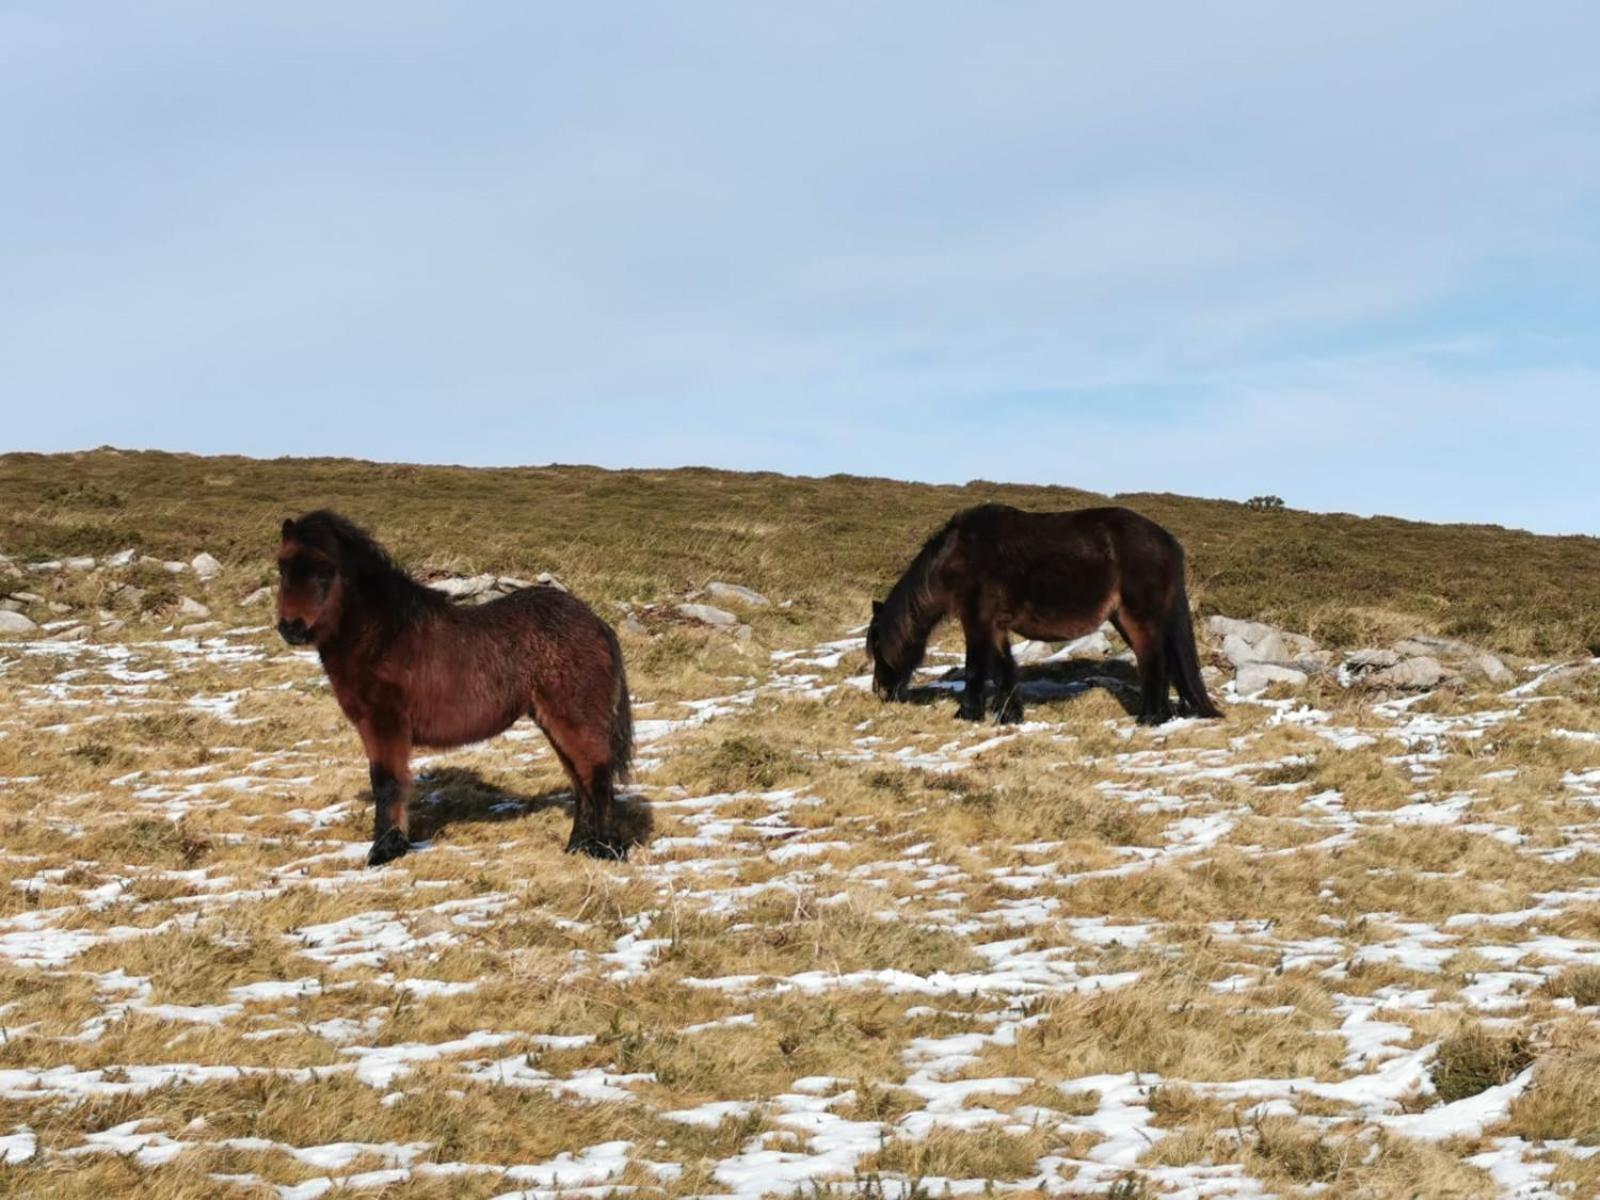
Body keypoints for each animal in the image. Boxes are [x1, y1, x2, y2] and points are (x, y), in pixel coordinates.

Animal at [275, 512, 630, 870]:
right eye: (282, 568)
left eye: (325, 571)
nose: (291, 628)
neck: (383, 635)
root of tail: (596, 622)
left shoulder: (385, 724)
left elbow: (387, 782)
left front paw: (385, 849)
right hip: (553, 722)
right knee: (580, 779)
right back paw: (578, 845)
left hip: (574, 719)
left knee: (596, 775)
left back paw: (604, 849)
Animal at [870, 505, 1216, 723]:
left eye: (877, 650)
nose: (880, 692)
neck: (958, 556)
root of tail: (1166, 541)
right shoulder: (995, 626)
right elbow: (1005, 669)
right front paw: (1010, 716)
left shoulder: (976, 621)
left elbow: (975, 669)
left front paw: (967, 714)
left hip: (1138, 618)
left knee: (1153, 663)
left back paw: (1149, 718)